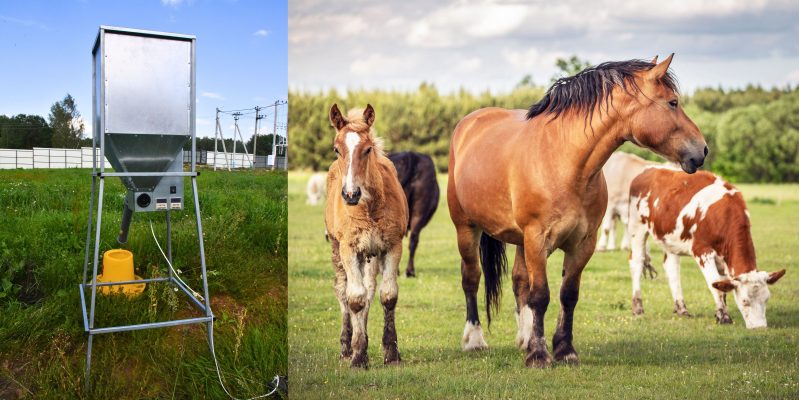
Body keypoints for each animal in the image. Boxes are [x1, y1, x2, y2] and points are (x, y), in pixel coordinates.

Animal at [324, 104, 410, 368]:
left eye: (368, 149)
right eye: (337, 149)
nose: (350, 194)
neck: (369, 207)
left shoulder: (393, 245)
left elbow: (387, 296)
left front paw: (391, 352)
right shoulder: (349, 248)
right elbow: (354, 299)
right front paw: (358, 356)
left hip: (371, 254)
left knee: (370, 290)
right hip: (337, 249)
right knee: (343, 290)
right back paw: (346, 346)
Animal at [446, 54, 708, 368]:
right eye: (672, 102)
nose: (702, 150)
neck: (565, 162)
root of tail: (470, 122)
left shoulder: (583, 243)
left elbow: (567, 295)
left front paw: (563, 349)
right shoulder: (537, 239)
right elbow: (541, 295)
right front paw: (539, 355)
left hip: (520, 241)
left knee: (519, 282)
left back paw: (524, 338)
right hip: (467, 228)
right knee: (471, 278)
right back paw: (474, 339)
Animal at [628, 168, 784, 328]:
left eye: (767, 299)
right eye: (745, 301)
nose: (760, 328)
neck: (724, 215)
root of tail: (650, 170)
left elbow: (721, 287)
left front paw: (719, 313)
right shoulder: (702, 251)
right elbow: (715, 286)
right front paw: (724, 317)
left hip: (669, 239)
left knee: (671, 268)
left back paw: (681, 308)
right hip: (637, 227)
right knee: (637, 263)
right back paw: (638, 307)